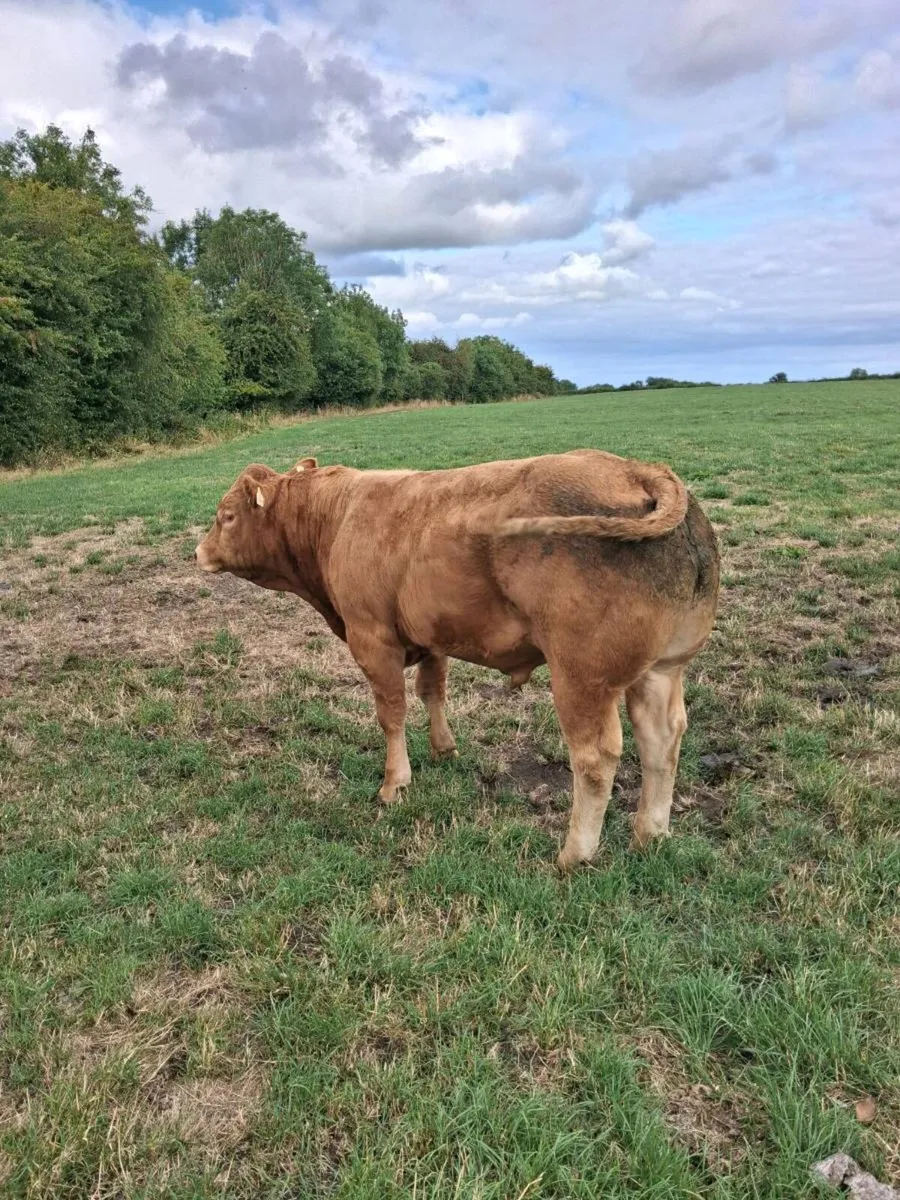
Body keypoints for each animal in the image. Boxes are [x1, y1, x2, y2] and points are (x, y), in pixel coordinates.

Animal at [196, 449, 719, 868]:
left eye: (226, 516)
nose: (198, 551)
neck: (335, 518)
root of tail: (637, 470)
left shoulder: (372, 639)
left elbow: (391, 713)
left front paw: (394, 784)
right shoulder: (431, 636)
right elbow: (433, 691)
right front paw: (444, 748)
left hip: (581, 678)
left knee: (595, 757)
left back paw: (574, 855)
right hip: (662, 669)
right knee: (662, 740)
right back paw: (650, 835)